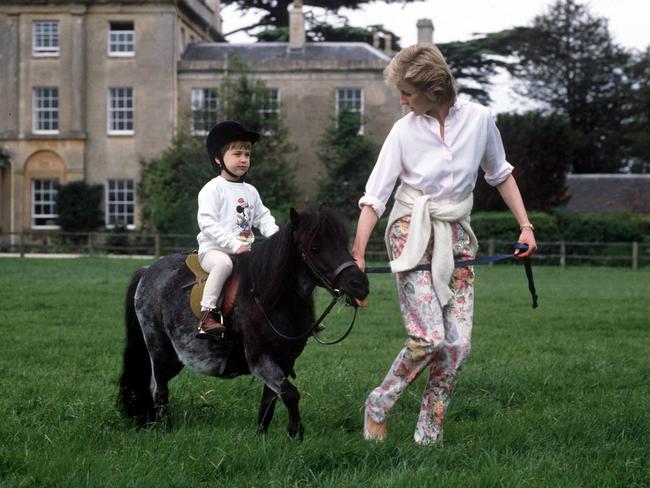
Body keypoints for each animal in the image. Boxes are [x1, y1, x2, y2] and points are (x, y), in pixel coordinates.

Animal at [118, 206, 368, 438]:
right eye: (315, 248)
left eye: (343, 243)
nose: (359, 285)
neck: (269, 298)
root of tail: (147, 271)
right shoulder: (260, 360)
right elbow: (290, 394)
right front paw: (296, 434)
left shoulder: (285, 361)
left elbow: (269, 401)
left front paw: (263, 438)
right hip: (159, 348)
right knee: (158, 389)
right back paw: (166, 430)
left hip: (174, 357)